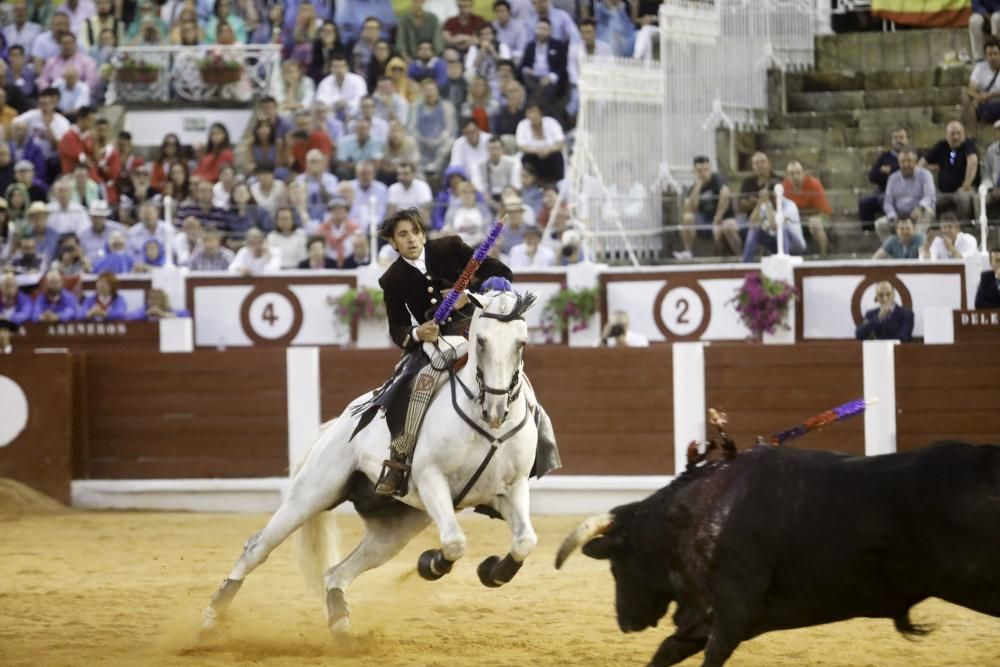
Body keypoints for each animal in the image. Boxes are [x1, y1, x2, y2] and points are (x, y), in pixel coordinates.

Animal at [203, 290, 548, 636]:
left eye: (522, 343)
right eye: (481, 341)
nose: (496, 410)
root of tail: (340, 421)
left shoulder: (510, 488)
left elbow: (525, 541)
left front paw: (492, 571)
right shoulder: (431, 478)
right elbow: (454, 542)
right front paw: (431, 563)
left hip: (394, 528)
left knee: (337, 572)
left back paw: (341, 625)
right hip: (310, 494)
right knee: (257, 548)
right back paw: (211, 616)